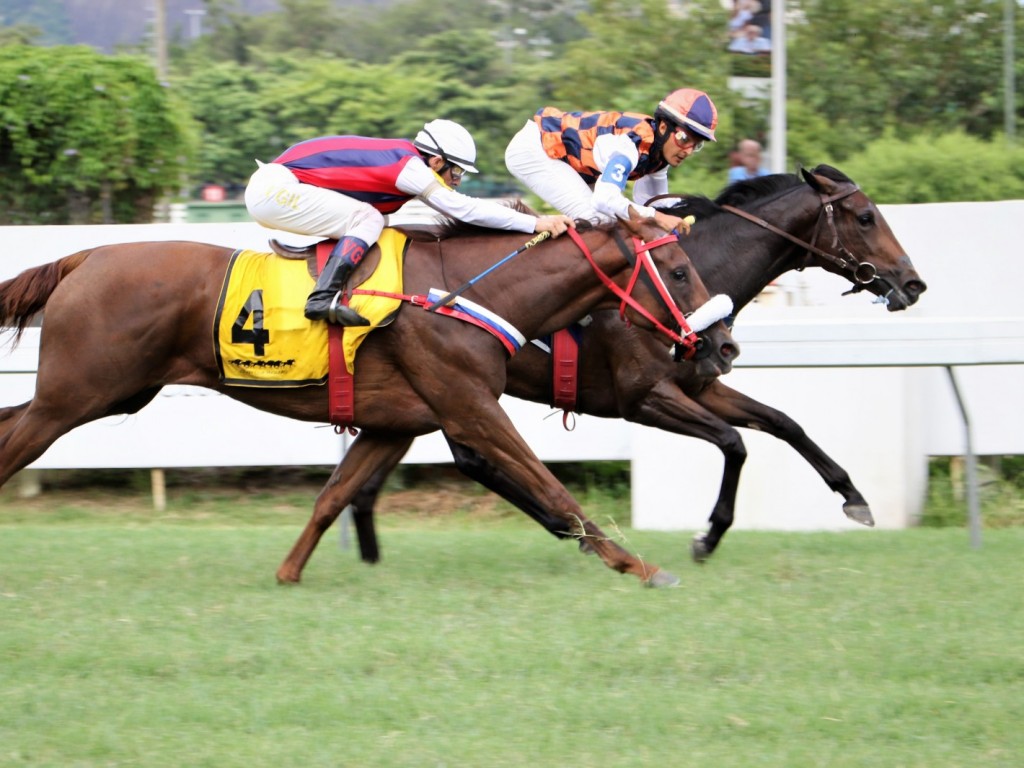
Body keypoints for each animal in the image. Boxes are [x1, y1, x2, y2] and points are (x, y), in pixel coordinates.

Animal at [0, 207, 737, 585]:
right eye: (678, 270)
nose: (723, 345)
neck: (462, 294)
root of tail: (83, 257)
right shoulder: (471, 407)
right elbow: (549, 485)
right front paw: (635, 563)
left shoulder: (396, 423)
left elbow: (333, 497)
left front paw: (288, 574)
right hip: (76, 395)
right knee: (13, 446)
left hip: (113, 393)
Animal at [342, 165, 929, 565]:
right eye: (866, 217)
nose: (913, 283)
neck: (695, 272)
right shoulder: (642, 397)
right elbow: (734, 443)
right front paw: (707, 536)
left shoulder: (700, 383)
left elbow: (783, 423)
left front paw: (854, 498)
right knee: (470, 457)